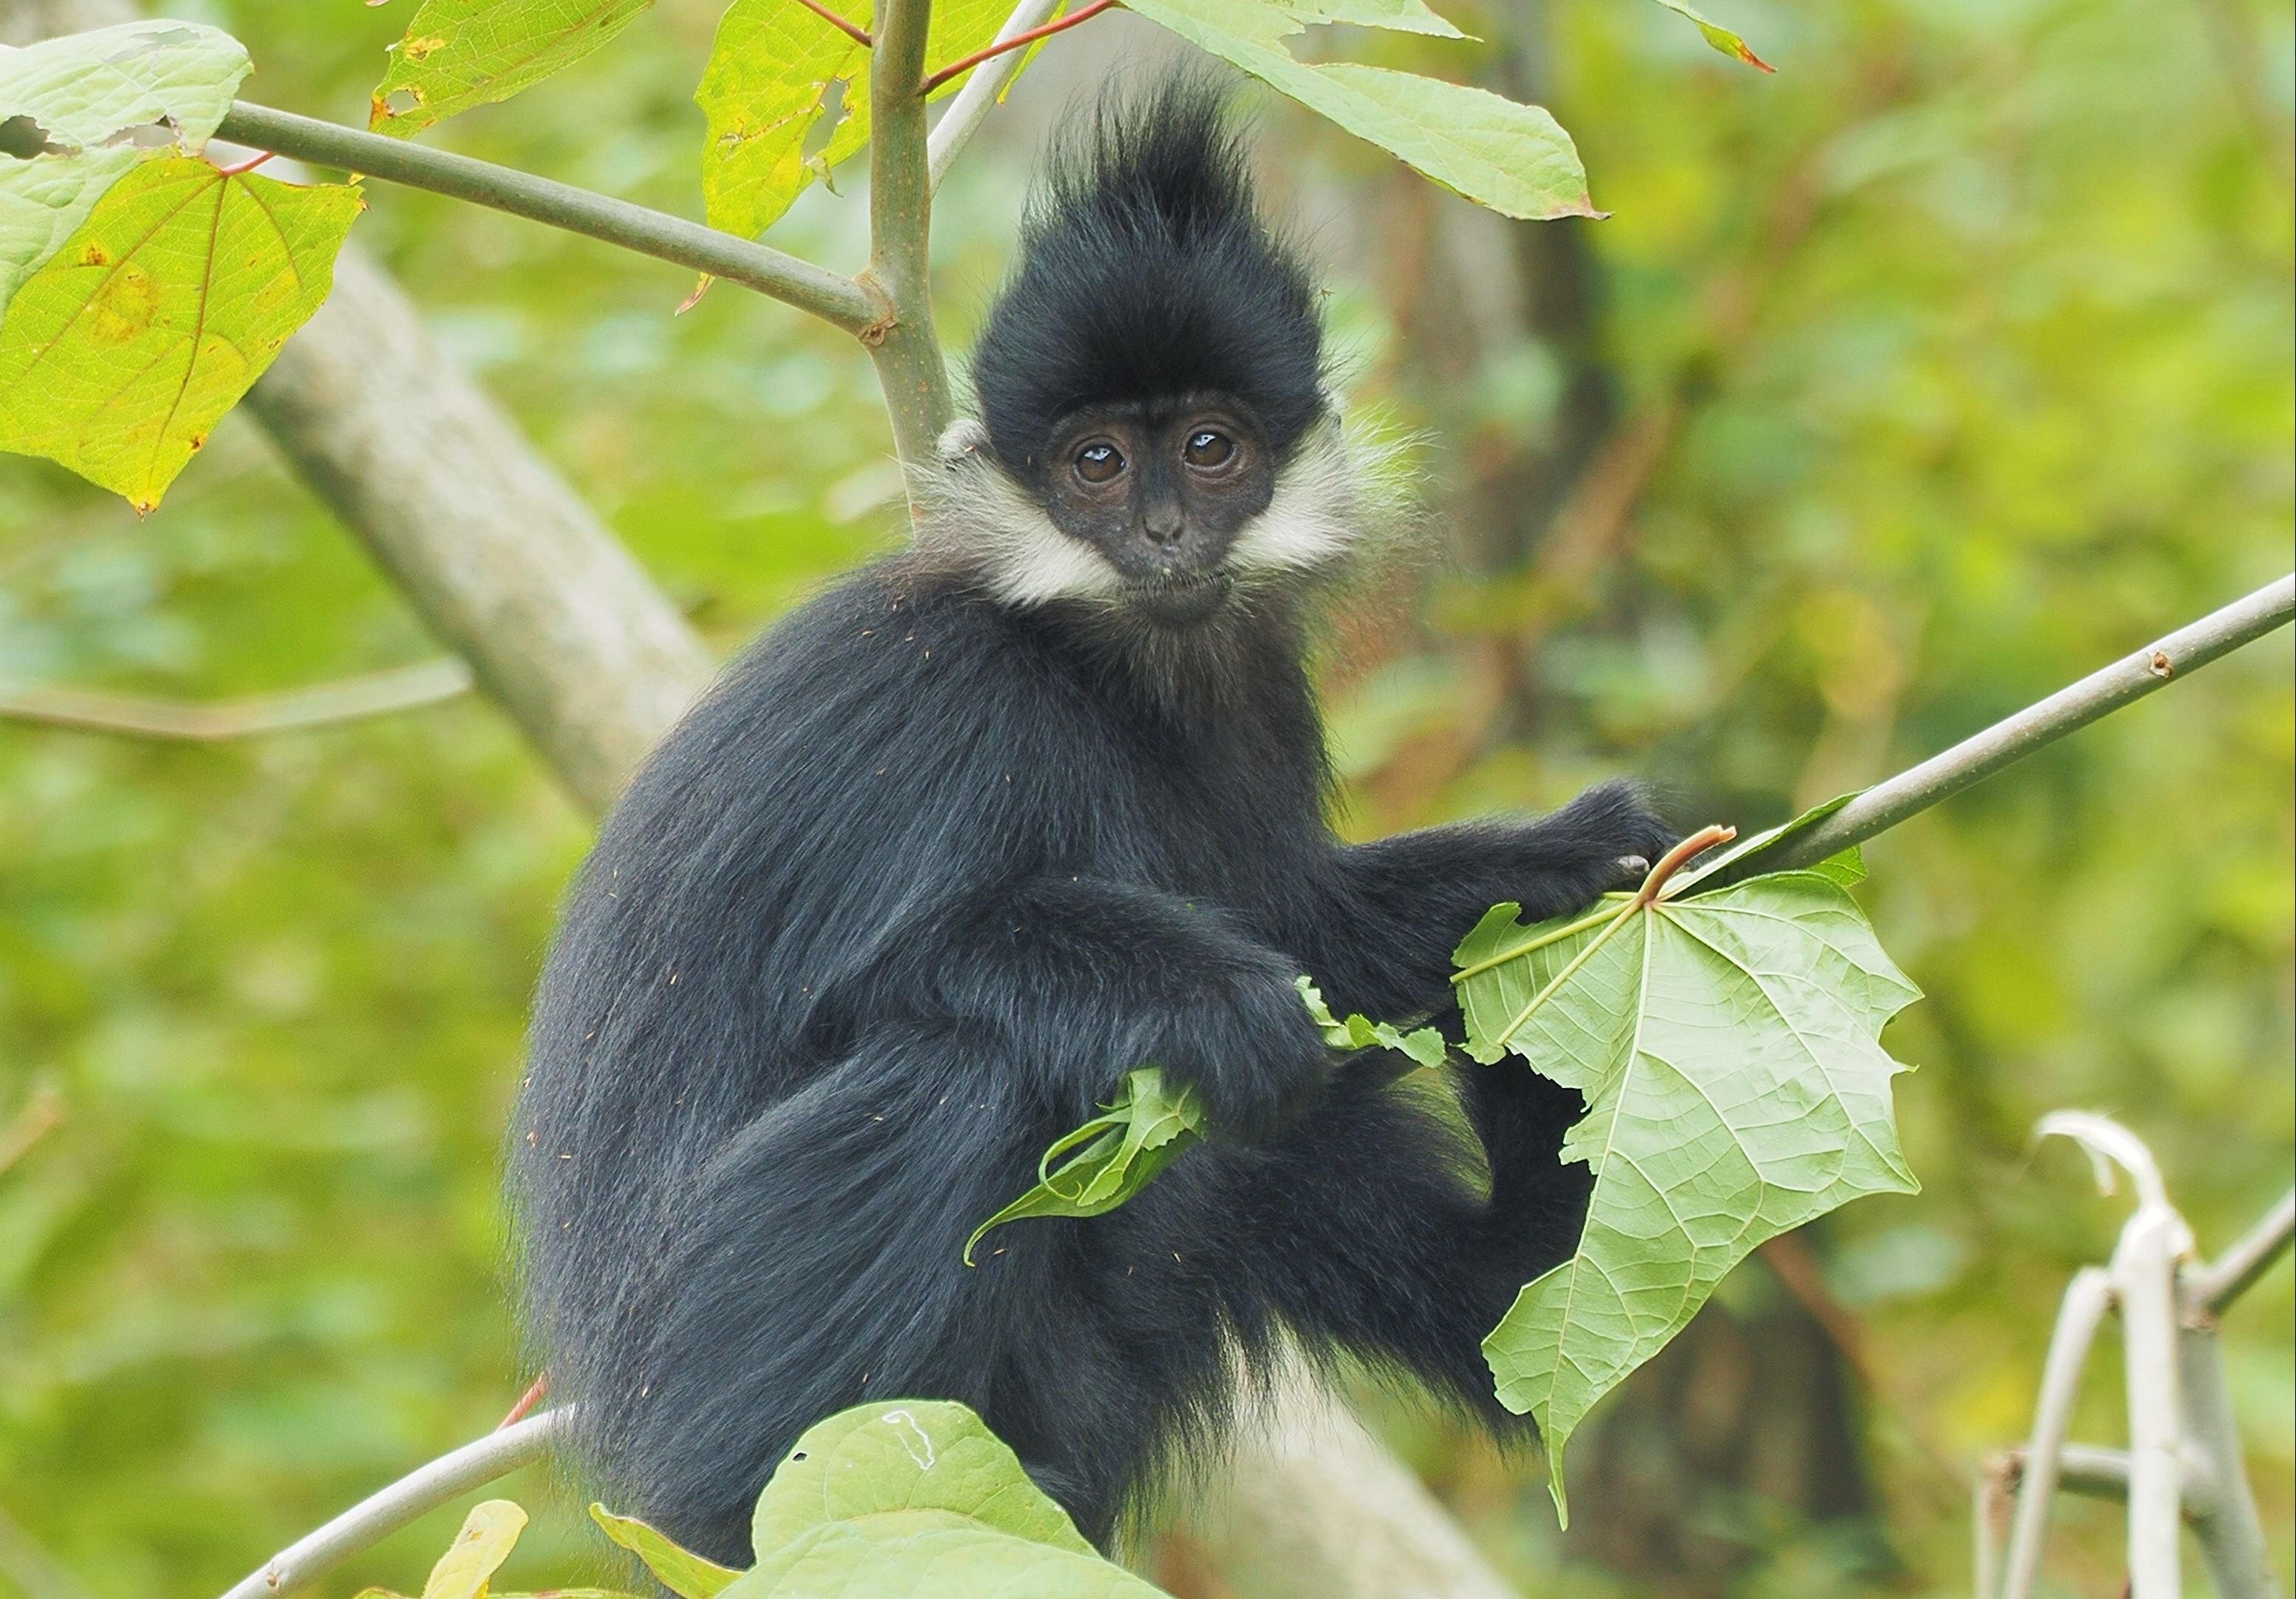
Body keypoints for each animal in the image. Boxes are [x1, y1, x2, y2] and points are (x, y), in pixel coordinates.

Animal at [516, 71, 1671, 1562]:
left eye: (1208, 448)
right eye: (1097, 463)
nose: (1167, 534)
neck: (1103, 664)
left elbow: (1312, 929)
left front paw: (1554, 867)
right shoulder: (955, 702)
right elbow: (903, 963)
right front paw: (1215, 1000)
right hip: (694, 1364)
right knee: (969, 1071)